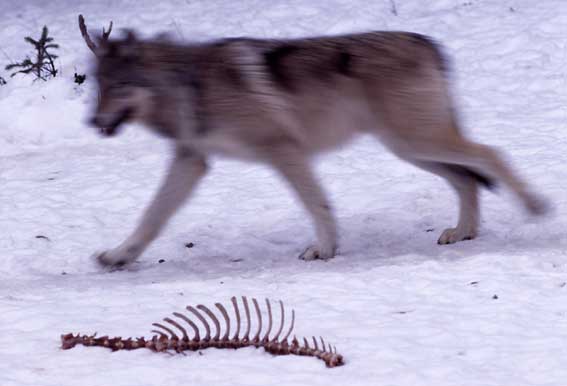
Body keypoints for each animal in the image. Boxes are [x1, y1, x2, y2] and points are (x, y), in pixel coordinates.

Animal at [90, 30, 552, 266]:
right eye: (96, 85)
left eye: (118, 86)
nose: (92, 122)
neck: (188, 86)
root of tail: (429, 43)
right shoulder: (192, 161)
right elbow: (152, 215)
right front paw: (118, 256)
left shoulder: (285, 151)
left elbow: (317, 204)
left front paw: (325, 249)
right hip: (409, 149)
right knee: (466, 180)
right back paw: (463, 232)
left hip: (415, 141)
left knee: (491, 154)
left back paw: (535, 207)